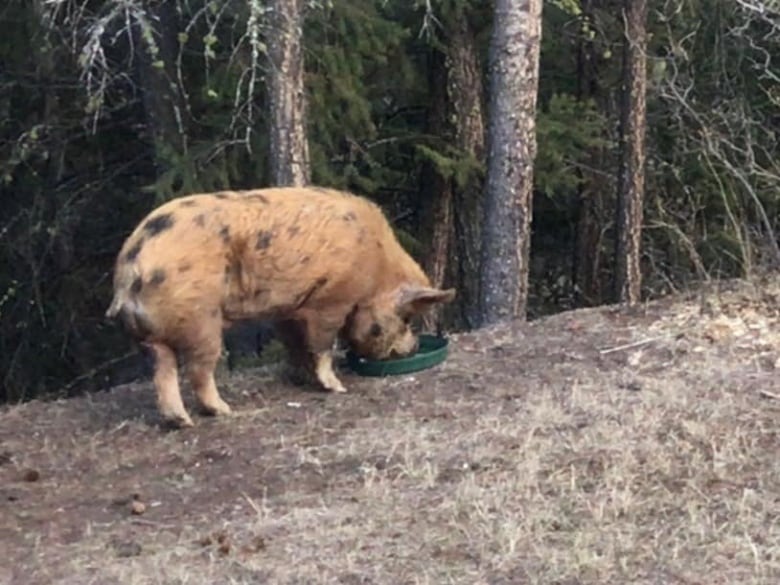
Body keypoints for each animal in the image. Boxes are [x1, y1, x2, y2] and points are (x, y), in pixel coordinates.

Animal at [105, 189, 458, 426]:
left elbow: (295, 344)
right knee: (197, 370)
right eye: (407, 317)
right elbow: (322, 345)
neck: (375, 269)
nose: (413, 347)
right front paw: (337, 387)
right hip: (202, 321)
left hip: (152, 336)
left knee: (161, 372)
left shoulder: (289, 310)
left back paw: (181, 422)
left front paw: (300, 378)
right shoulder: (331, 301)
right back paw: (224, 411)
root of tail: (132, 265)